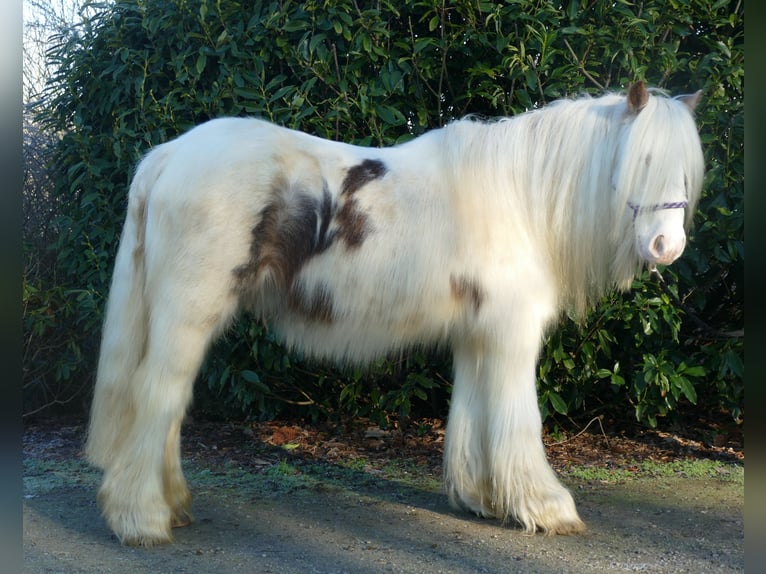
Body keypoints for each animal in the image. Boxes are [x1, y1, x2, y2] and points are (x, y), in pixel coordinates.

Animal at [85, 80, 708, 544]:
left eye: (685, 170)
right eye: (641, 159)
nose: (667, 247)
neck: (520, 195)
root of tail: (168, 156)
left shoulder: (478, 333)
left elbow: (472, 414)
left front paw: (481, 498)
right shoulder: (511, 332)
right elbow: (517, 419)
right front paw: (546, 507)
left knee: (169, 404)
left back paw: (172, 503)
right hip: (187, 313)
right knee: (156, 396)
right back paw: (141, 518)